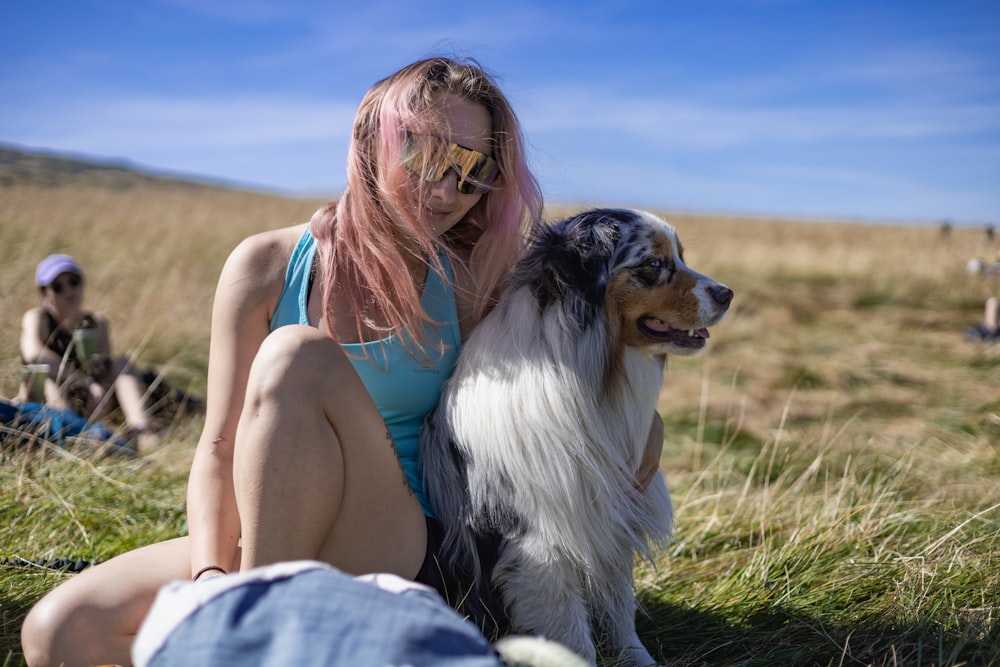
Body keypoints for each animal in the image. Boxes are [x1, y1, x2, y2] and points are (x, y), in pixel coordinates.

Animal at [422, 206, 736, 664]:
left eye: (680, 256)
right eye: (653, 264)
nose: (727, 294)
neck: (588, 374)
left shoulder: (611, 518)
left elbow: (620, 610)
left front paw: (637, 658)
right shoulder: (541, 547)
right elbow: (572, 635)